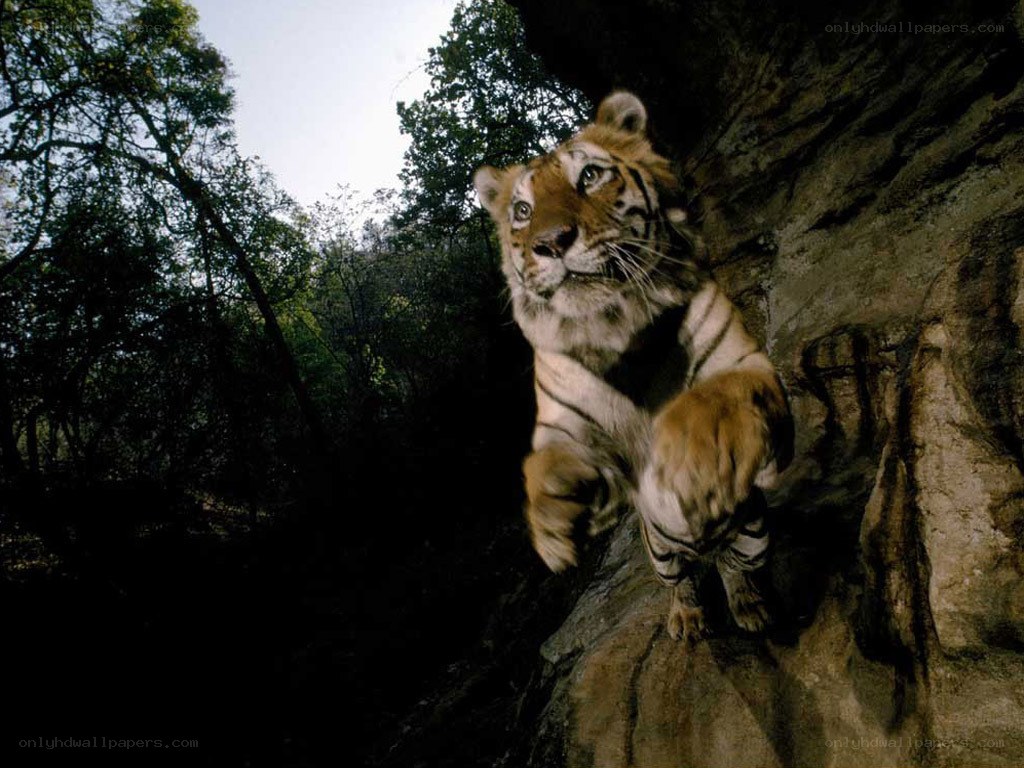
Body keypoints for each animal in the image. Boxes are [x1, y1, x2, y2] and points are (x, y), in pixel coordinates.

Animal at [473, 91, 793, 641]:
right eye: (522, 210)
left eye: (590, 176)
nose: (550, 242)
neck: (614, 325)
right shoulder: (569, 429)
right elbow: (545, 463)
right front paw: (552, 523)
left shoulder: (750, 365)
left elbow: (716, 395)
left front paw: (694, 448)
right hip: (660, 552)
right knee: (682, 582)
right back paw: (686, 619)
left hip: (756, 530)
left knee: (734, 566)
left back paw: (751, 606)